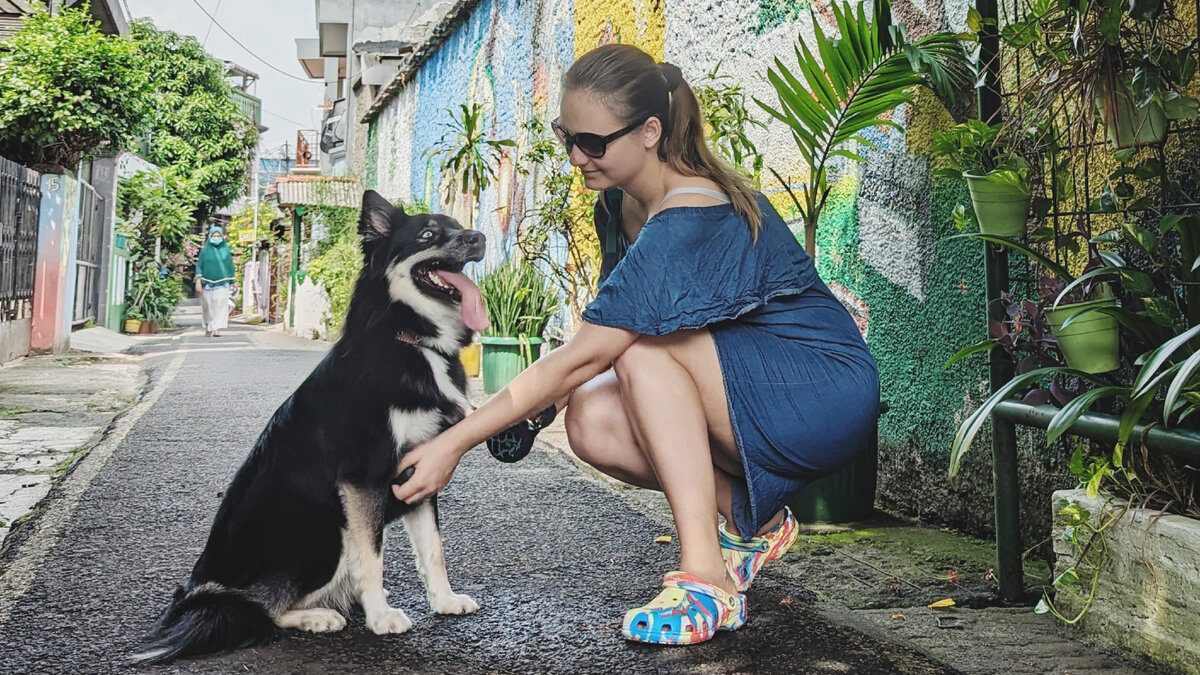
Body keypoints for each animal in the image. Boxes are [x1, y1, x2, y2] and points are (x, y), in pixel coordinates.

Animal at [139, 190, 492, 662]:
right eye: (428, 234)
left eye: (459, 225)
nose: (479, 238)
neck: (411, 338)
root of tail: (203, 596)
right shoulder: (363, 478)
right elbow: (372, 557)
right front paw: (381, 617)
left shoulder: (420, 471)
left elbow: (433, 549)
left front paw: (444, 600)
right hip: (325, 530)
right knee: (261, 610)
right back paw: (320, 616)